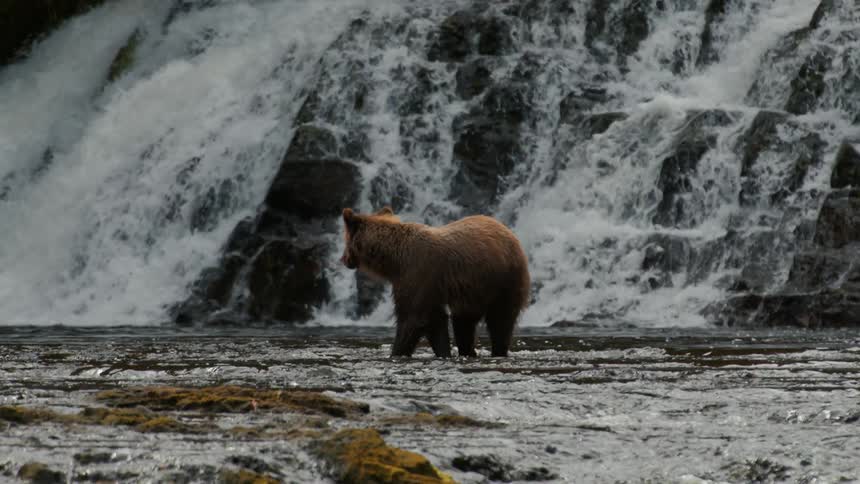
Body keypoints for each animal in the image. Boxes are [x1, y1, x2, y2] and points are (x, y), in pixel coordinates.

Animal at [340, 206, 530, 357]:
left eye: (345, 240)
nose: (343, 259)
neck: (395, 260)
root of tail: (510, 233)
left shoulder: (417, 274)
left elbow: (412, 318)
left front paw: (397, 352)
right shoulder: (429, 287)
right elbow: (435, 321)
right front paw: (444, 352)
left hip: (504, 281)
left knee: (501, 321)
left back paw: (498, 350)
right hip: (474, 292)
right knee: (463, 323)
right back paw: (468, 351)